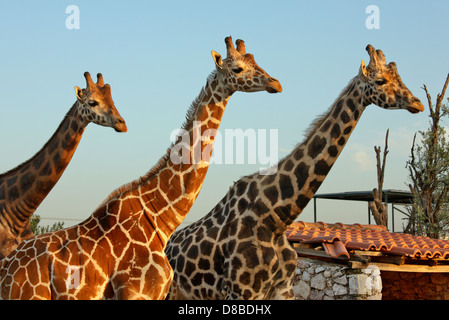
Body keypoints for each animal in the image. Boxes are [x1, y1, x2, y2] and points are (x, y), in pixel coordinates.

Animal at [164, 44, 424, 300]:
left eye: (399, 77)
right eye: (380, 81)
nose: (418, 103)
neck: (277, 217)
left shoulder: (283, 289)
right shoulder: (241, 291)